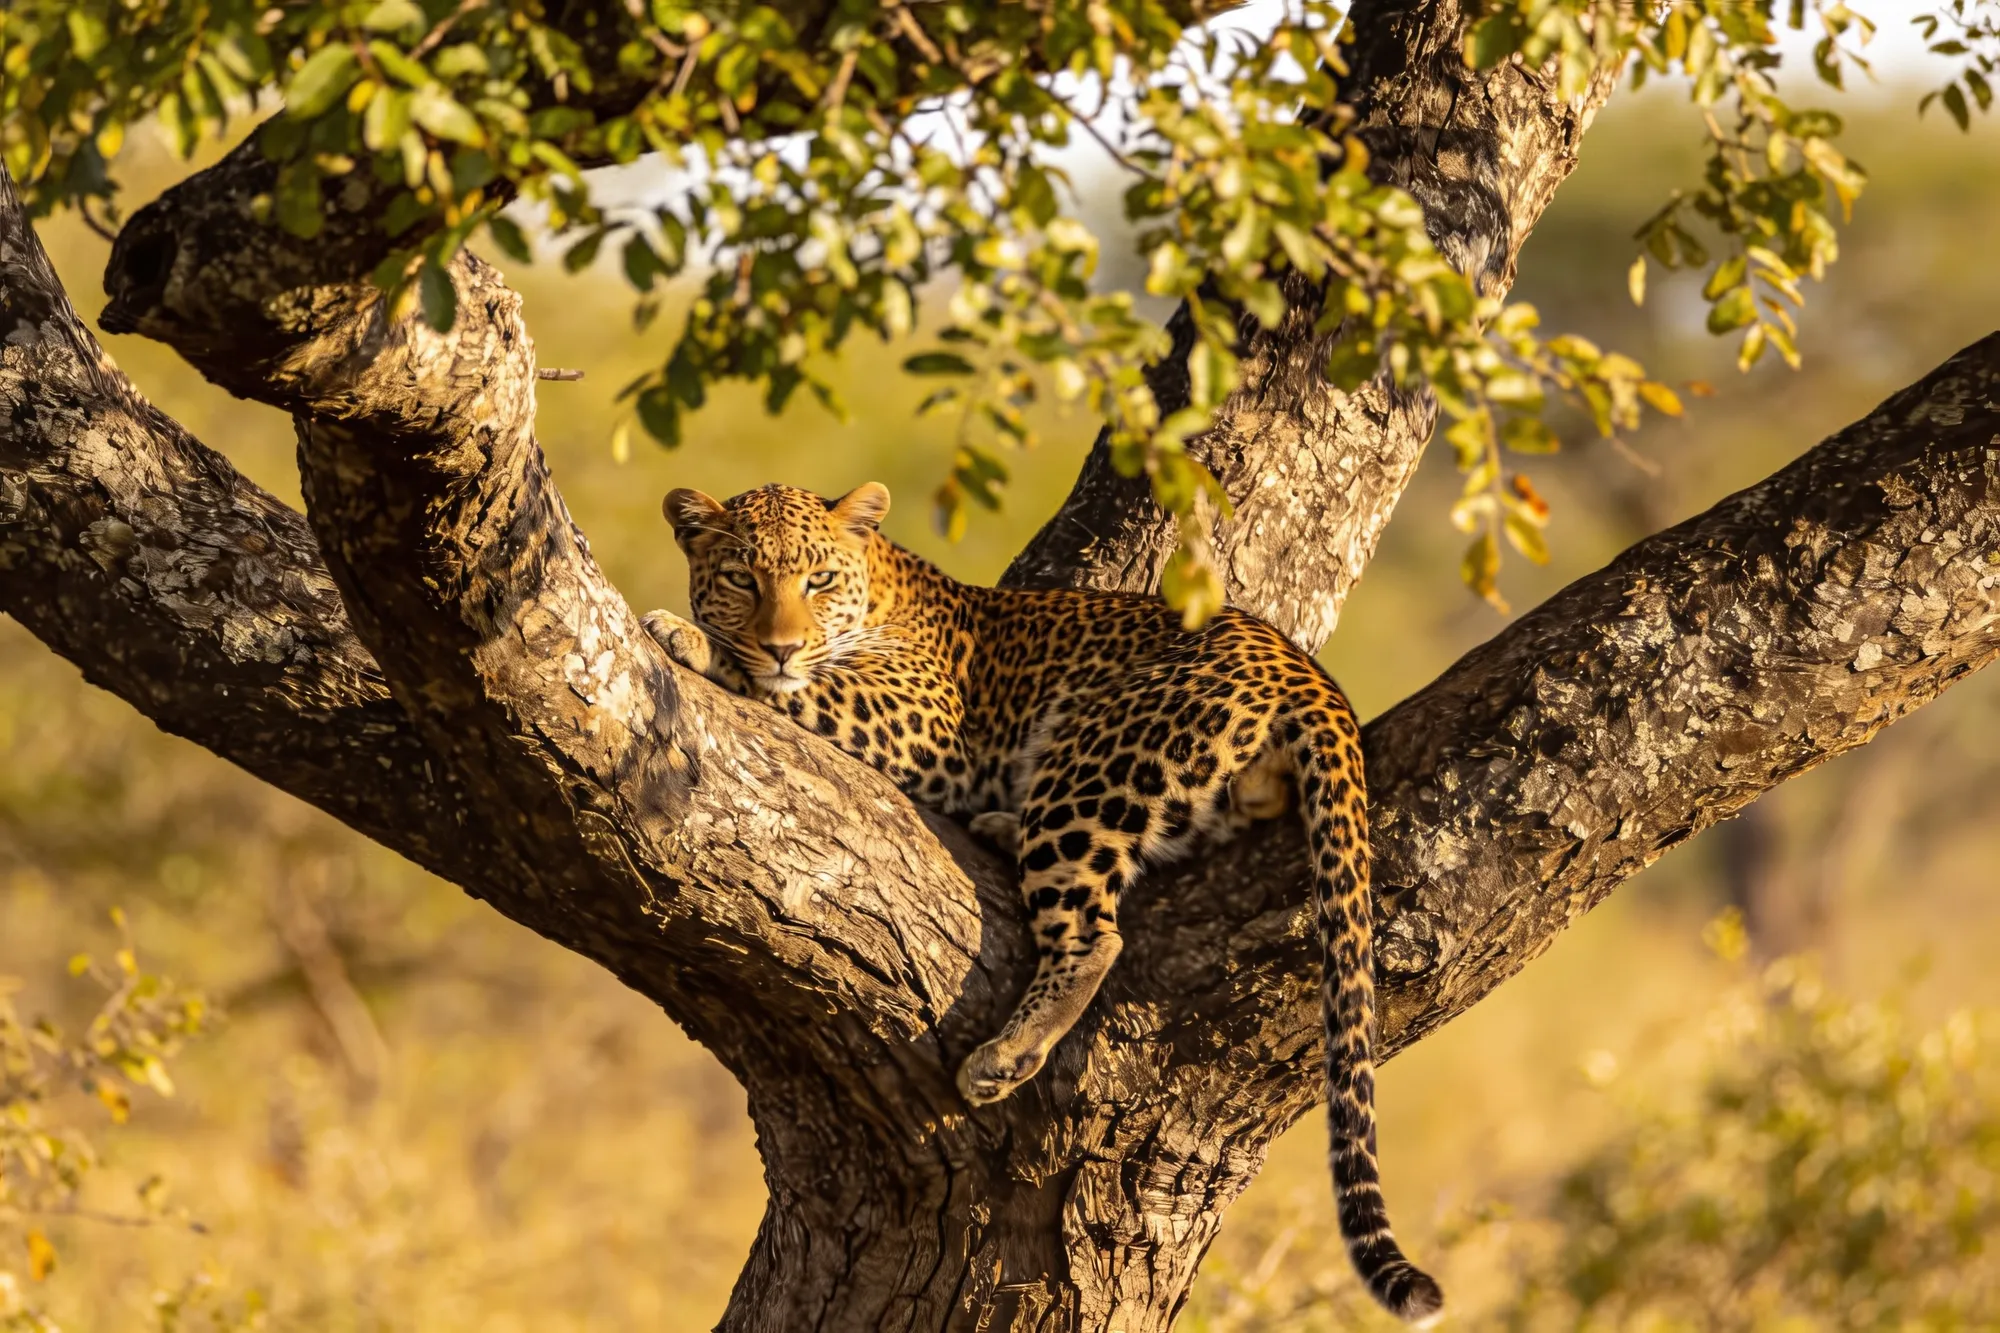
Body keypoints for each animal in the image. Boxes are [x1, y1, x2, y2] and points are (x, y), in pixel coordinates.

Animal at [642, 481, 1442, 1324]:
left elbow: (804, 686)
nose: (783, 645)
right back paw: (1002, 827)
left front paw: (690, 637)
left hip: (1090, 758)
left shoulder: (925, 724)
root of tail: (1306, 672)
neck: (881, 583)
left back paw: (1005, 1053)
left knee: (1096, 932)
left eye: (818, 581)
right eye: (742, 579)